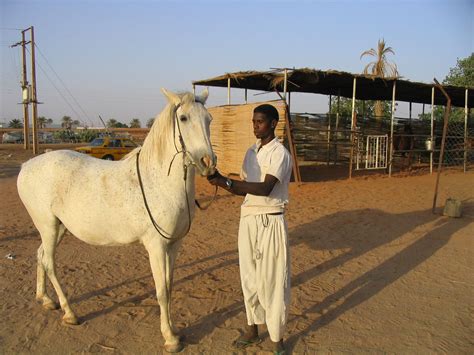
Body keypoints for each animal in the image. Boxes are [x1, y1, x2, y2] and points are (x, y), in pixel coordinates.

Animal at [17, 89, 217, 354]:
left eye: (209, 119)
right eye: (183, 118)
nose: (208, 162)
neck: (159, 181)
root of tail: (25, 165)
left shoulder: (174, 245)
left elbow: (169, 285)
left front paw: (175, 330)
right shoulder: (156, 246)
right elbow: (162, 291)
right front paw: (170, 338)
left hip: (57, 228)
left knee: (40, 255)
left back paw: (46, 300)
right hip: (47, 227)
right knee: (49, 263)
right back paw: (70, 313)